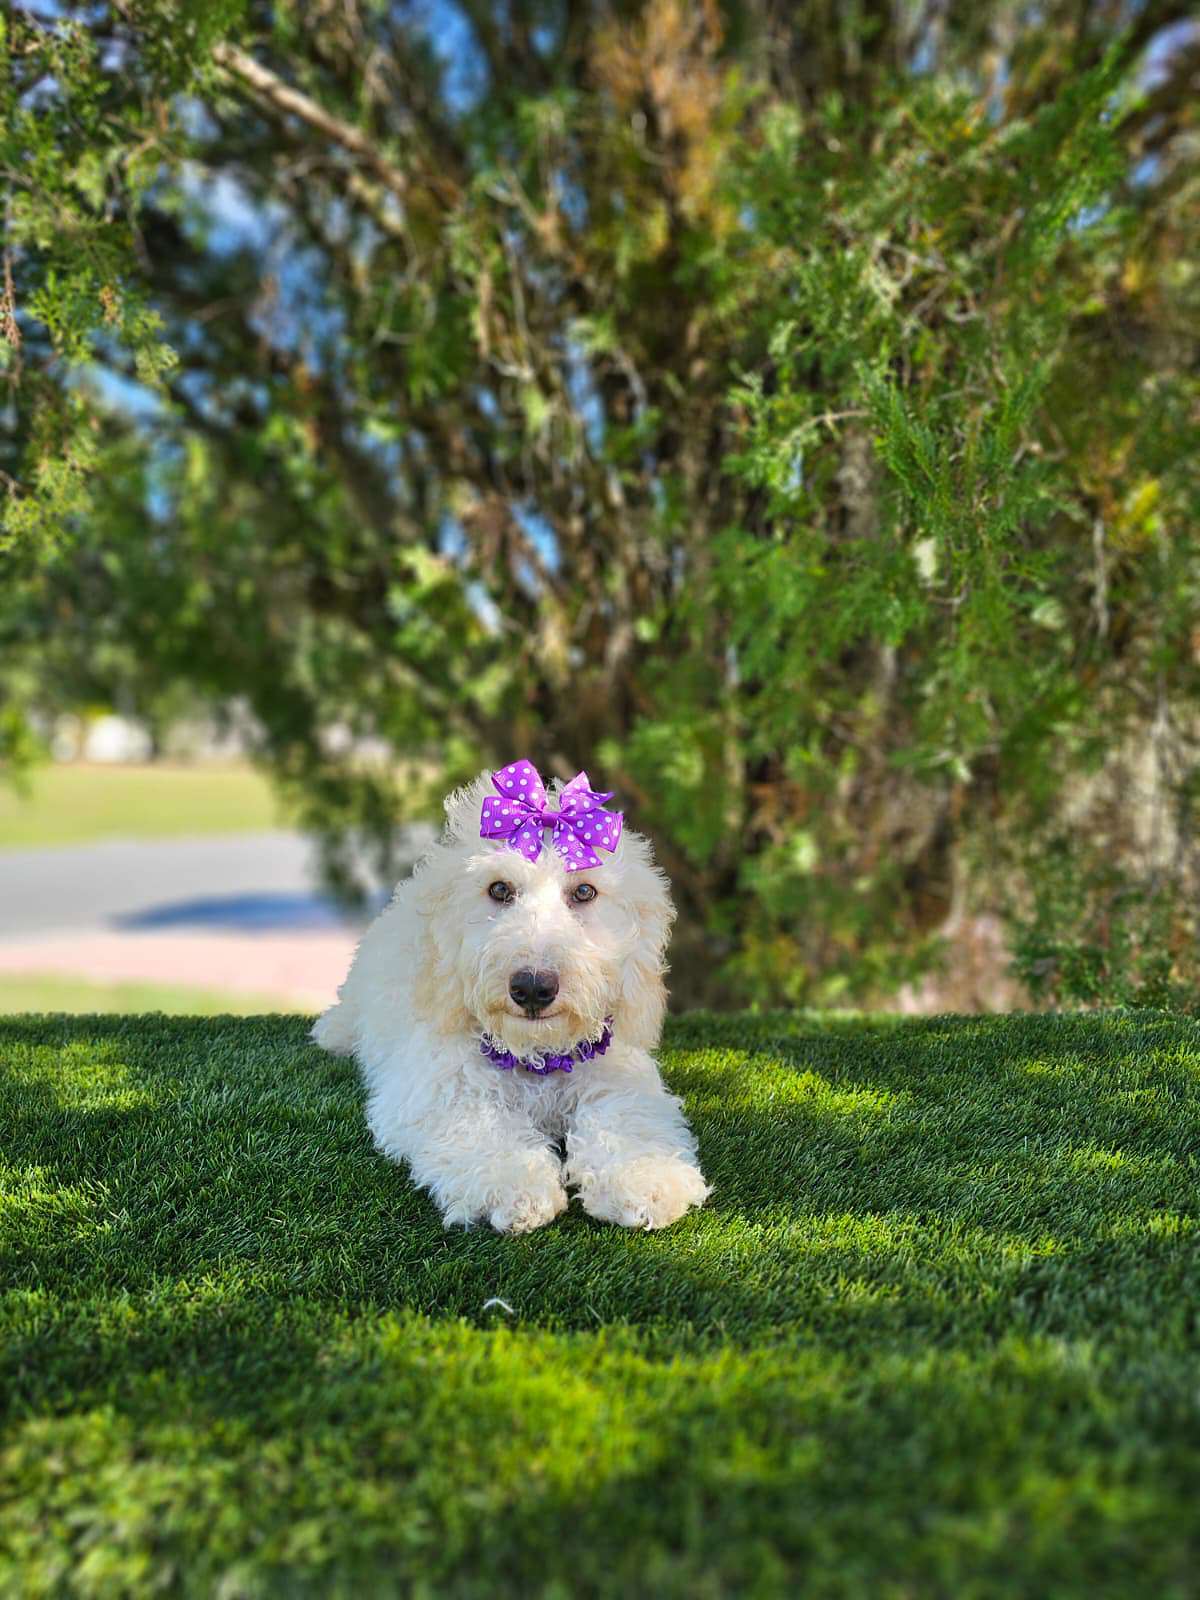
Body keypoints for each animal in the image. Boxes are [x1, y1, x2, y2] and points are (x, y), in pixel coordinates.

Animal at [312, 760, 709, 1233]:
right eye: (499, 889)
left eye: (584, 891)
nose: (533, 987)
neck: (536, 1055)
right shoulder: (440, 1086)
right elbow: (480, 1128)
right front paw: (514, 1185)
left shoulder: (617, 1072)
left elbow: (626, 1120)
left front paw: (647, 1177)